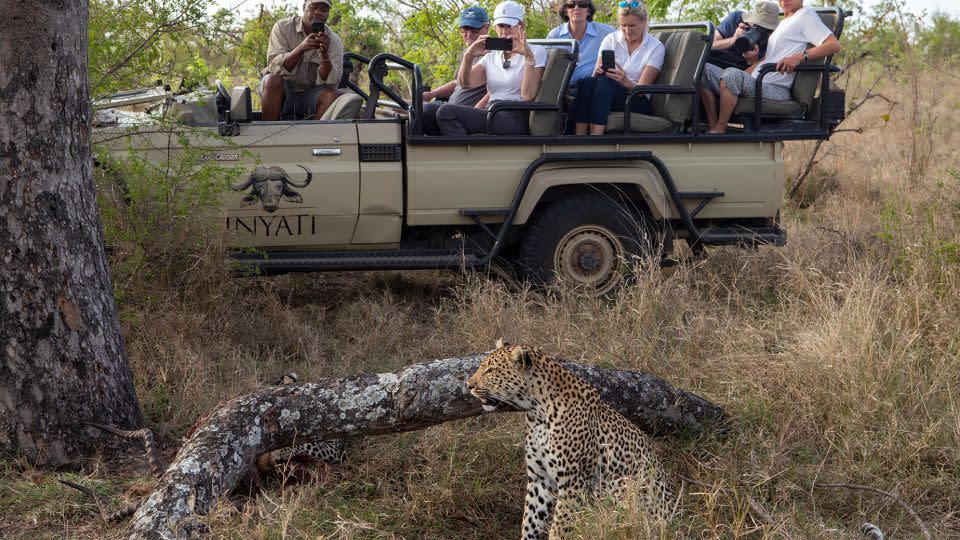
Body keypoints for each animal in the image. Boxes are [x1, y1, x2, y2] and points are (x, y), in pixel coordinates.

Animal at [464, 342, 676, 540]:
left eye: (491, 370)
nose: (468, 385)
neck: (537, 412)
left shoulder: (573, 483)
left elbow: (558, 528)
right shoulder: (540, 480)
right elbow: (530, 521)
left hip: (623, 485)